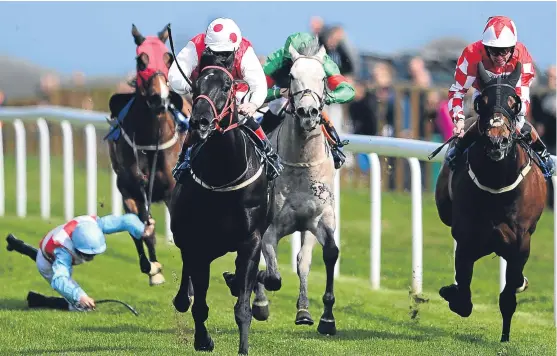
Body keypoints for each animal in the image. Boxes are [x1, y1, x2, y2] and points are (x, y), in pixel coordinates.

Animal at [106, 23, 191, 286]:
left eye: (168, 58)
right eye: (141, 60)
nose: (159, 98)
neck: (150, 140)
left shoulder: (174, 191)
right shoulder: (129, 190)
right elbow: (140, 229)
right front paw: (153, 269)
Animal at [169, 48, 270, 356]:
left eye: (227, 87)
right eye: (196, 85)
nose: (201, 121)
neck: (224, 176)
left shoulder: (251, 240)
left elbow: (243, 308)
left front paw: (244, 347)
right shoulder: (198, 243)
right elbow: (199, 306)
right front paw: (203, 340)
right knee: (187, 286)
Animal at [434, 61, 548, 342]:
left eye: (512, 101)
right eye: (482, 102)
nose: (497, 140)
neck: (497, 185)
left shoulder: (520, 241)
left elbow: (509, 291)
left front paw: (505, 338)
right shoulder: (467, 237)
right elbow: (463, 293)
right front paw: (451, 293)